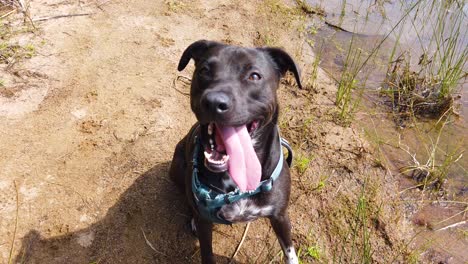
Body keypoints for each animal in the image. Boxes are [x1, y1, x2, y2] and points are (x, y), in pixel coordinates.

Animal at [170, 40, 302, 262]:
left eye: (254, 76)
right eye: (204, 70)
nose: (214, 102)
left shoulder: (280, 216)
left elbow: (290, 253)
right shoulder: (206, 223)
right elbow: (207, 254)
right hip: (178, 170)